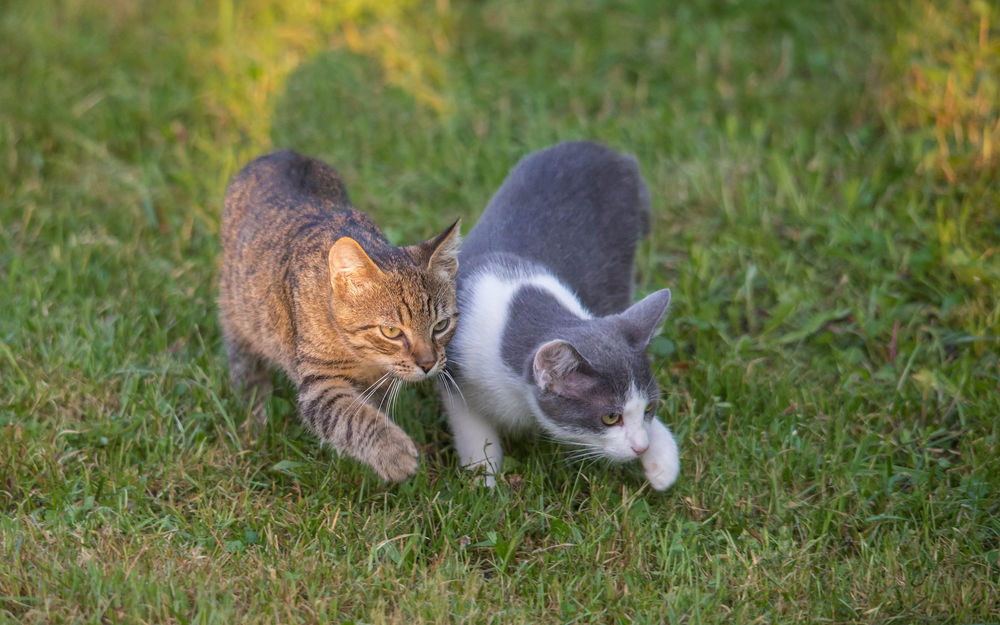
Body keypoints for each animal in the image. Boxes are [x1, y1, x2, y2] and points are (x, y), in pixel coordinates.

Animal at [219, 150, 460, 482]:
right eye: (391, 332)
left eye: (441, 326)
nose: (428, 364)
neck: (363, 358)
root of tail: (280, 152)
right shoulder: (318, 381)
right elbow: (352, 416)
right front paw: (393, 452)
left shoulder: (378, 382)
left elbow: (368, 408)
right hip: (238, 312)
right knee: (244, 364)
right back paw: (256, 412)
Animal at [444, 139, 680, 490]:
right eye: (611, 417)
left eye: (650, 407)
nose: (641, 446)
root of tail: (602, 149)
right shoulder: (449, 362)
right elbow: (470, 424)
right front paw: (482, 477)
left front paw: (662, 459)